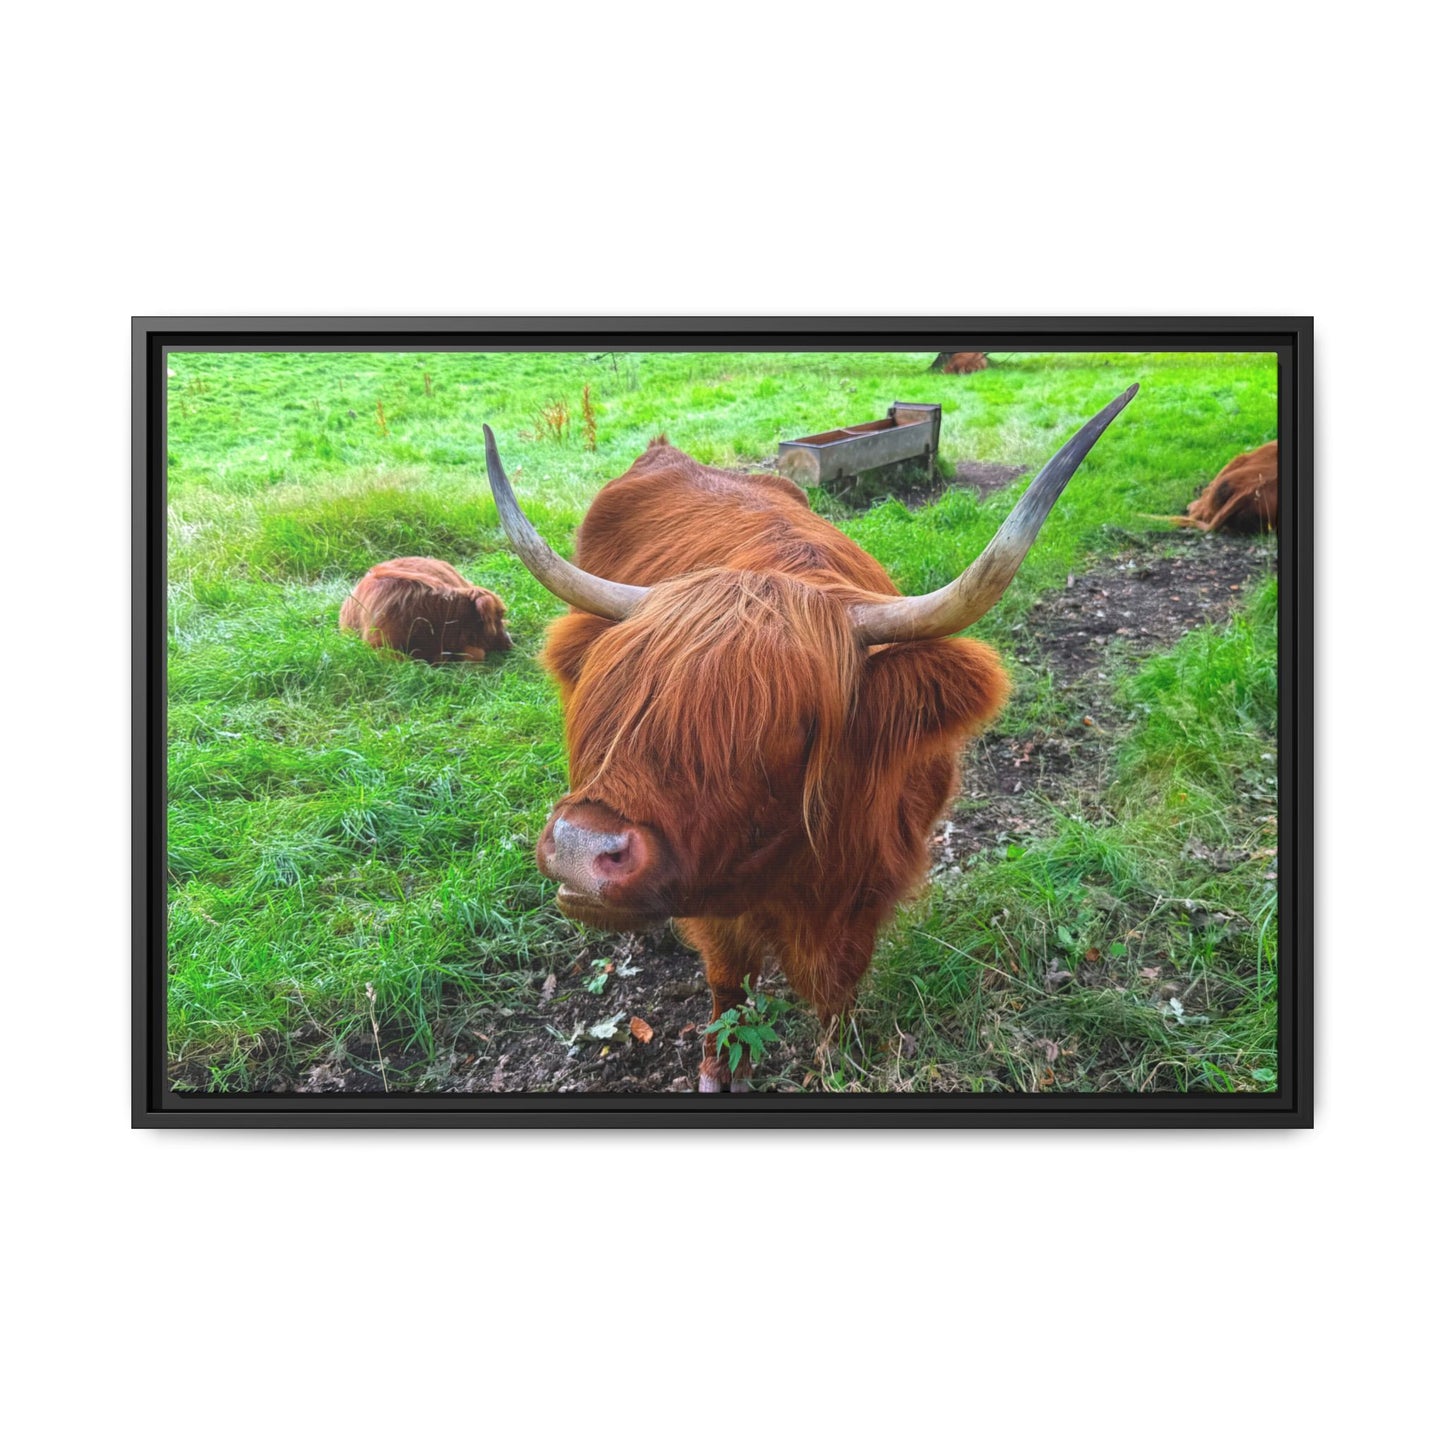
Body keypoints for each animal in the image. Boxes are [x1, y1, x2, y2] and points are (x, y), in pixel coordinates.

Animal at [483, 386, 1137, 1091]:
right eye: (620, 693)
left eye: (790, 725)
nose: (582, 848)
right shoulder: (716, 900)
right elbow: (727, 980)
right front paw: (720, 1066)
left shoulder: (870, 884)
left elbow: (838, 984)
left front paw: (839, 1056)